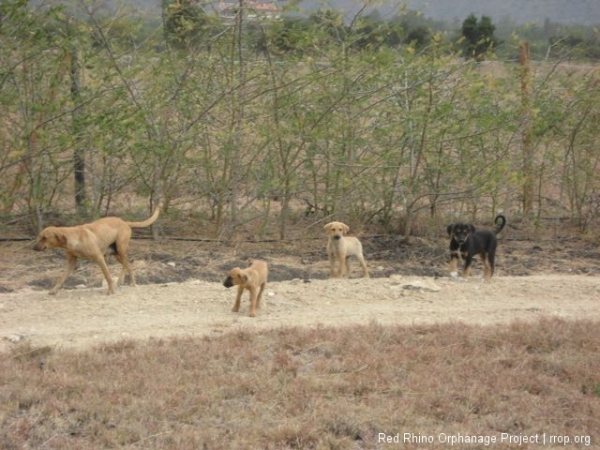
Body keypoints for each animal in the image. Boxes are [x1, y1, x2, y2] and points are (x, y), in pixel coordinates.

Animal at [33, 205, 161, 296]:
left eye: (44, 238)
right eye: (40, 236)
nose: (33, 248)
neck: (73, 238)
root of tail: (124, 222)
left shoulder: (99, 258)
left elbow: (108, 276)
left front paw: (111, 291)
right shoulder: (71, 262)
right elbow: (61, 278)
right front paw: (54, 290)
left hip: (120, 249)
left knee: (129, 265)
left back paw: (132, 283)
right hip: (116, 253)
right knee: (127, 264)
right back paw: (121, 280)